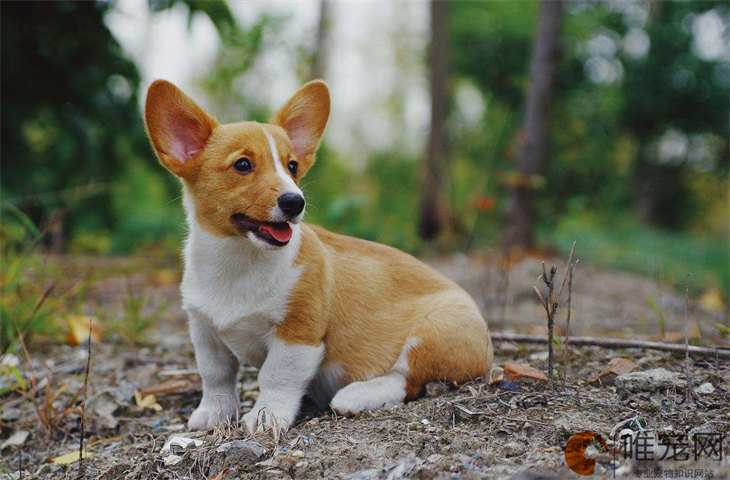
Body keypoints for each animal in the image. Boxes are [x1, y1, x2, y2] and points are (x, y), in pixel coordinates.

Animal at [144, 79, 492, 432]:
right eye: (243, 165)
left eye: (292, 166)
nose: (295, 202)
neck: (239, 259)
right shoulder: (204, 332)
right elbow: (215, 375)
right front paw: (213, 414)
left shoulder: (297, 334)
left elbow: (275, 377)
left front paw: (265, 418)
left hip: (433, 333)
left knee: (406, 380)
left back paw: (356, 396)